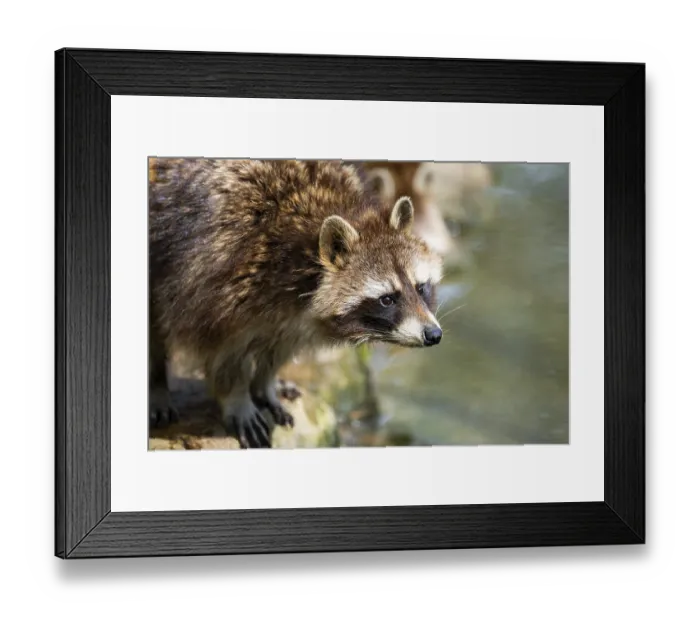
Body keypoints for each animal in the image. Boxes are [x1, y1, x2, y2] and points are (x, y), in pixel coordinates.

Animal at [149, 158, 443, 449]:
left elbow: (281, 343)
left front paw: (265, 384)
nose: (433, 334)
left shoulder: (290, 311)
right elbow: (223, 350)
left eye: (420, 288)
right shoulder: (216, 273)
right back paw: (157, 385)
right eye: (387, 299)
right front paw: (237, 398)